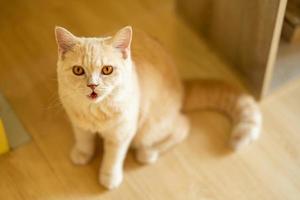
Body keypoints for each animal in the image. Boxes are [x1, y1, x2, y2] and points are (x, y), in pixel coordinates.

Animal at [55, 25, 262, 190]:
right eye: (78, 70)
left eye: (107, 70)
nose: (93, 85)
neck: (94, 111)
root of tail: (180, 86)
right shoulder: (78, 122)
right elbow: (84, 139)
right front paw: (82, 153)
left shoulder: (122, 133)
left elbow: (113, 157)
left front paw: (109, 177)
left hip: (147, 130)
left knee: (182, 125)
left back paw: (149, 153)